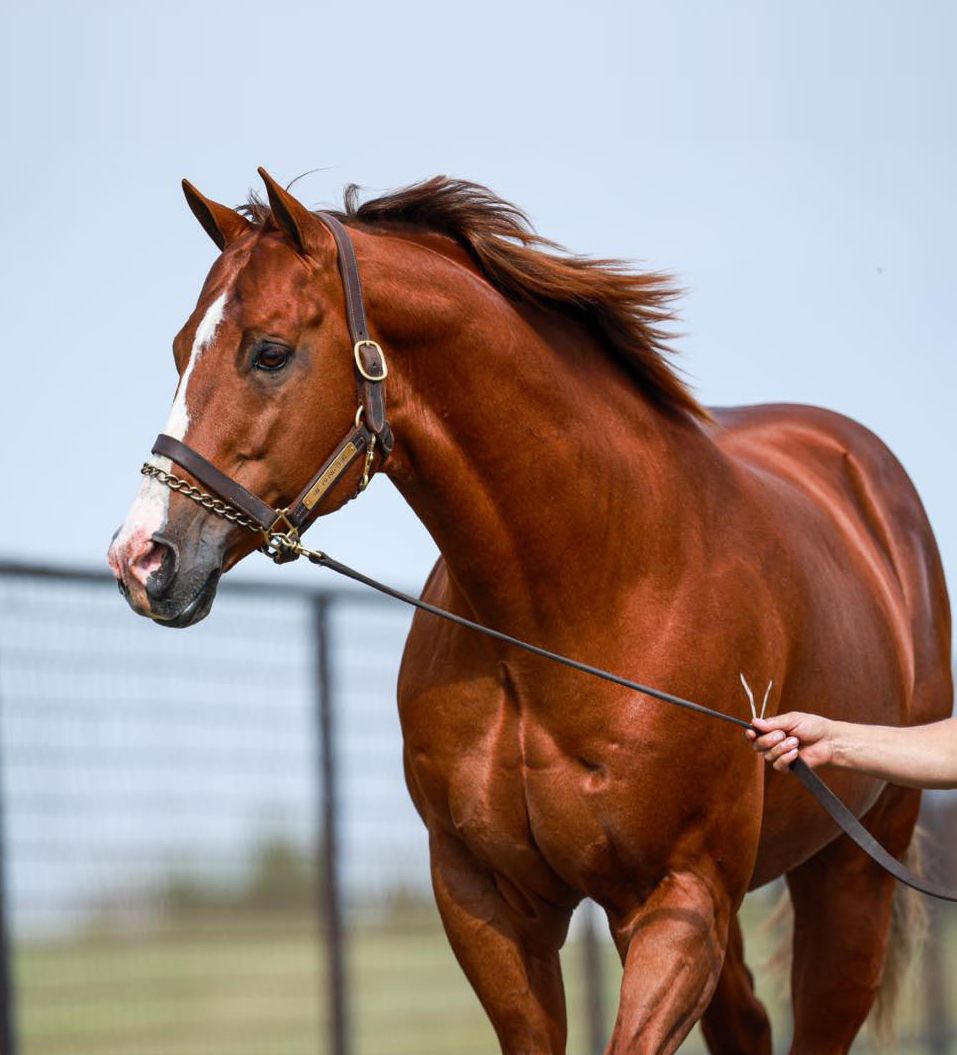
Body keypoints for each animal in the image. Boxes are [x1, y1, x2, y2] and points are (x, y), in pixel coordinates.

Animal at [107, 170, 952, 1054]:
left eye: (269, 351)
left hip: (849, 878)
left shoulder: (676, 900)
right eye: (180, 350)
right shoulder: (488, 899)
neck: (581, 602)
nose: (144, 558)